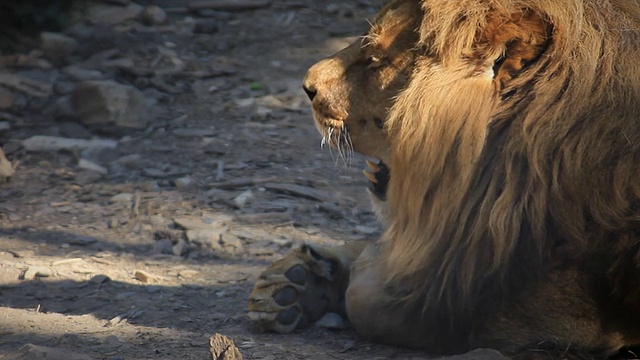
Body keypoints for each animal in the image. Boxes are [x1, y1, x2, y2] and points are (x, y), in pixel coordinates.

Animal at [248, 0, 640, 358]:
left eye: (377, 60)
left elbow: (371, 298)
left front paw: (335, 278)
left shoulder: (553, 314)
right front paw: (298, 280)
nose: (306, 88)